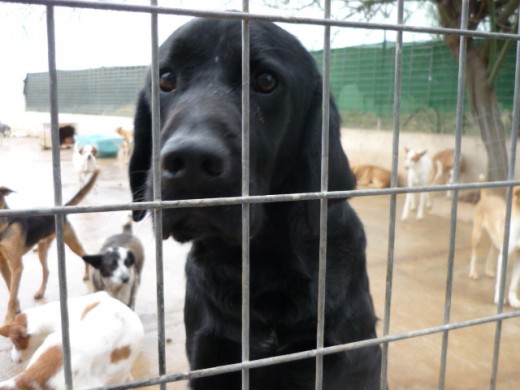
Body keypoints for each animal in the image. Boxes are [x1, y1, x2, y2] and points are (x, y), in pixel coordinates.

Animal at [0, 171, 99, 322]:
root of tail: (61, 208)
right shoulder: (4, 264)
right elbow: (11, 288)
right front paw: (16, 308)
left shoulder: (16, 266)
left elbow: (11, 294)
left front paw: (9, 319)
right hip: (42, 249)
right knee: (46, 271)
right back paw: (40, 292)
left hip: (70, 241)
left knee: (84, 253)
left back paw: (87, 275)